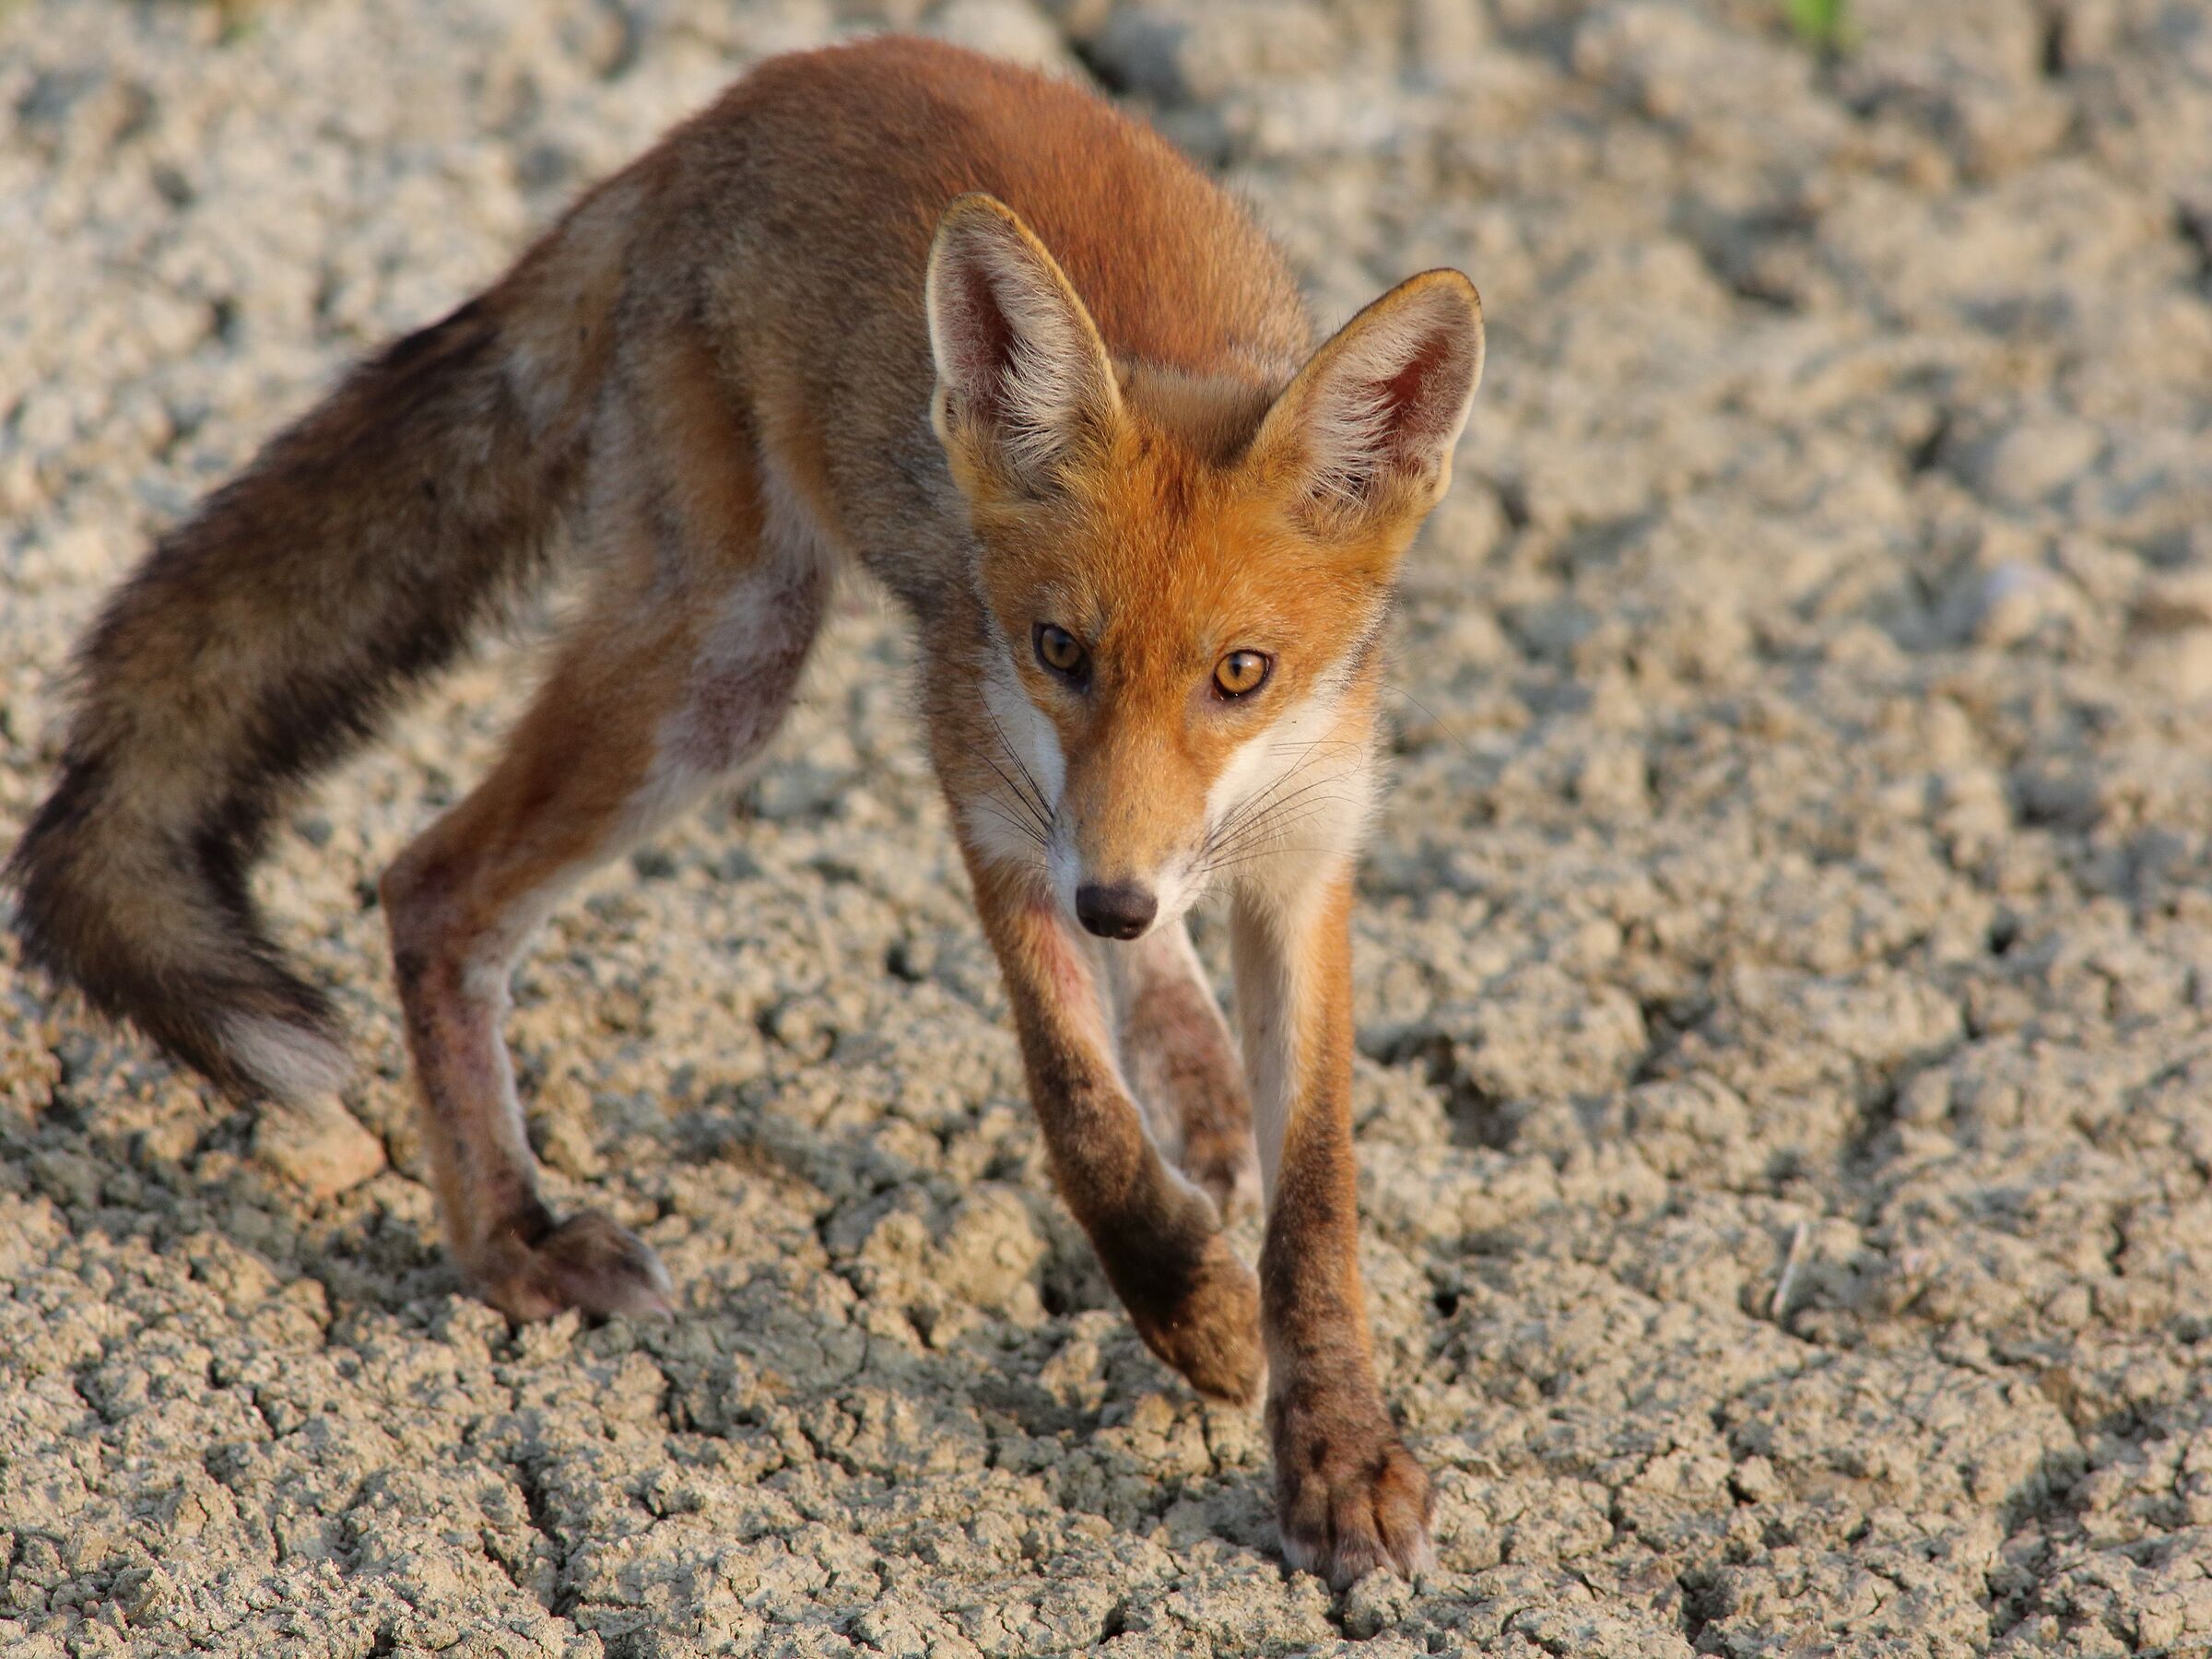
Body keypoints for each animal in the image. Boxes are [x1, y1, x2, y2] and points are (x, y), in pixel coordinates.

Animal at [9, 37, 1483, 1585]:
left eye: (1241, 673)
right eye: (1058, 650)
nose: (1114, 900)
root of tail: (738, 101)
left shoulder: (1305, 860)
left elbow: (1315, 1200)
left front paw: (1338, 1455)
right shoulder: (992, 793)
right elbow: (1076, 1107)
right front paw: (1190, 1308)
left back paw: (1191, 1074)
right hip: (722, 663)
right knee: (427, 884)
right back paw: (512, 1244)